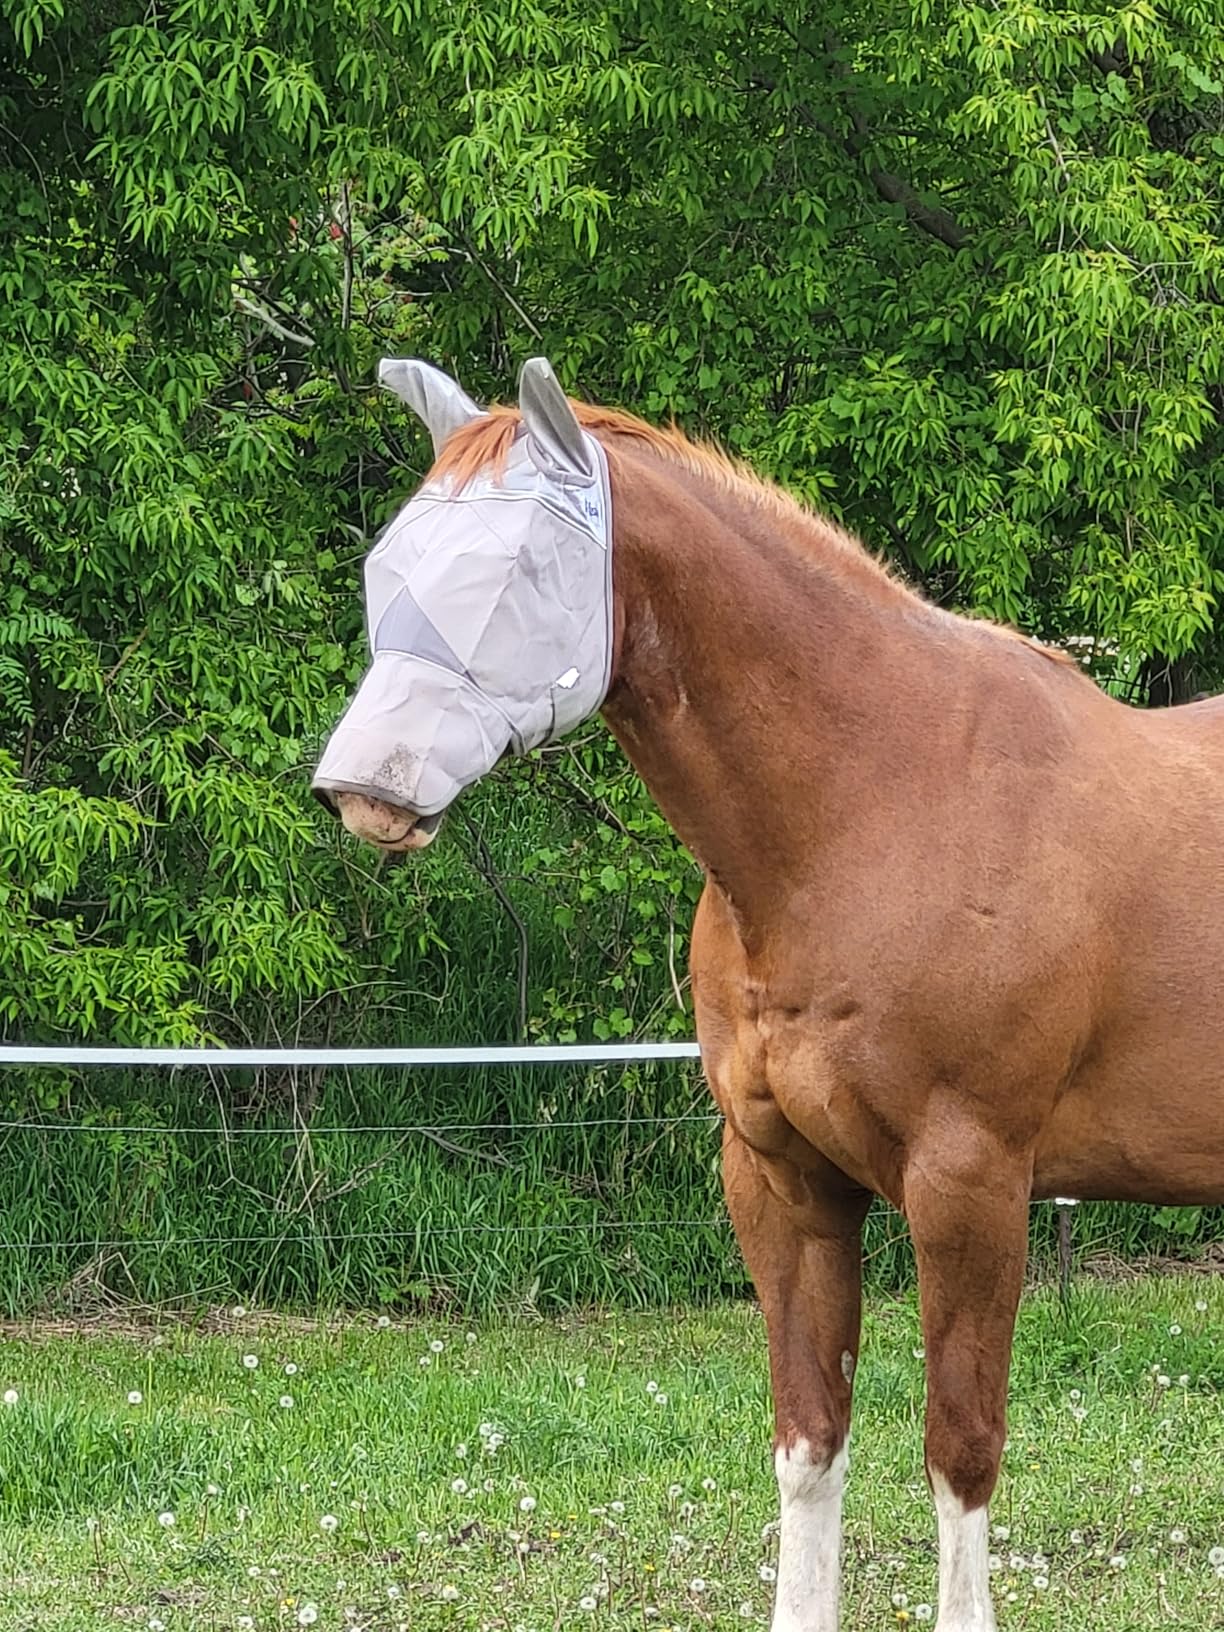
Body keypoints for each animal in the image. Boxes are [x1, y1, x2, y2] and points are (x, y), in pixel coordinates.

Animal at [313, 357, 1224, 1632]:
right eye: (387, 565)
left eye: (512, 571)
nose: (362, 787)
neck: (875, 804)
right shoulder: (782, 1178)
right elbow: (810, 1443)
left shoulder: (971, 1181)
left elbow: (960, 1448)